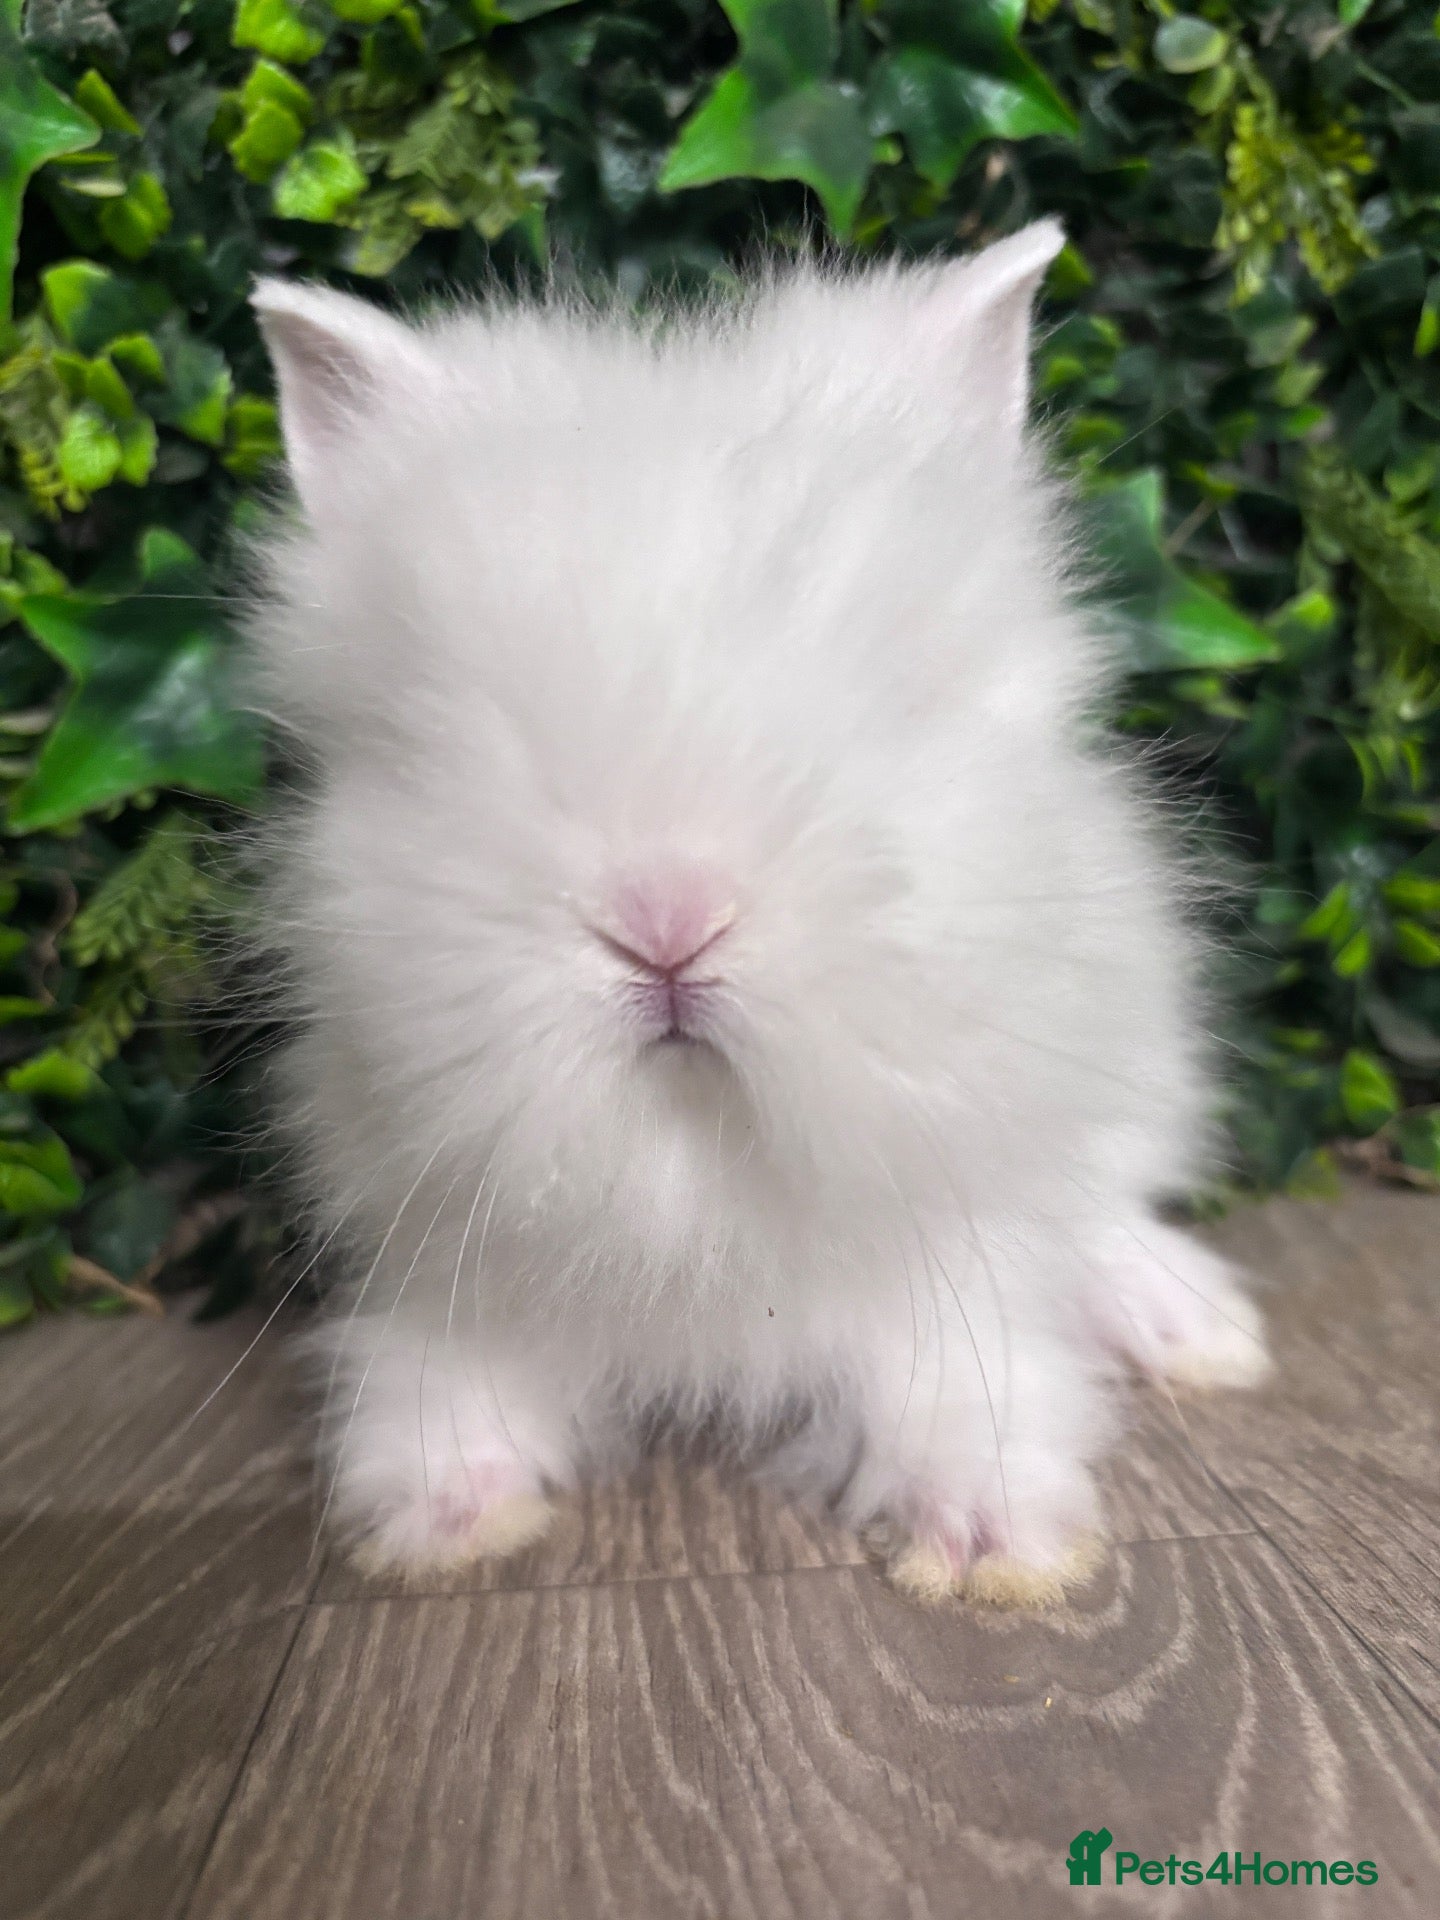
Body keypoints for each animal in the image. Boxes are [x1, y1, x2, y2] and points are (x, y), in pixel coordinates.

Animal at [247, 219, 1269, 1606]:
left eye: (891, 700)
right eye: (450, 741)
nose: (668, 921)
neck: (694, 1181)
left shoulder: (955, 1246)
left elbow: (964, 1374)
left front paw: (996, 1538)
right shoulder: (443, 1247)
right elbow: (445, 1371)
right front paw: (443, 1509)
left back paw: (1193, 1326)